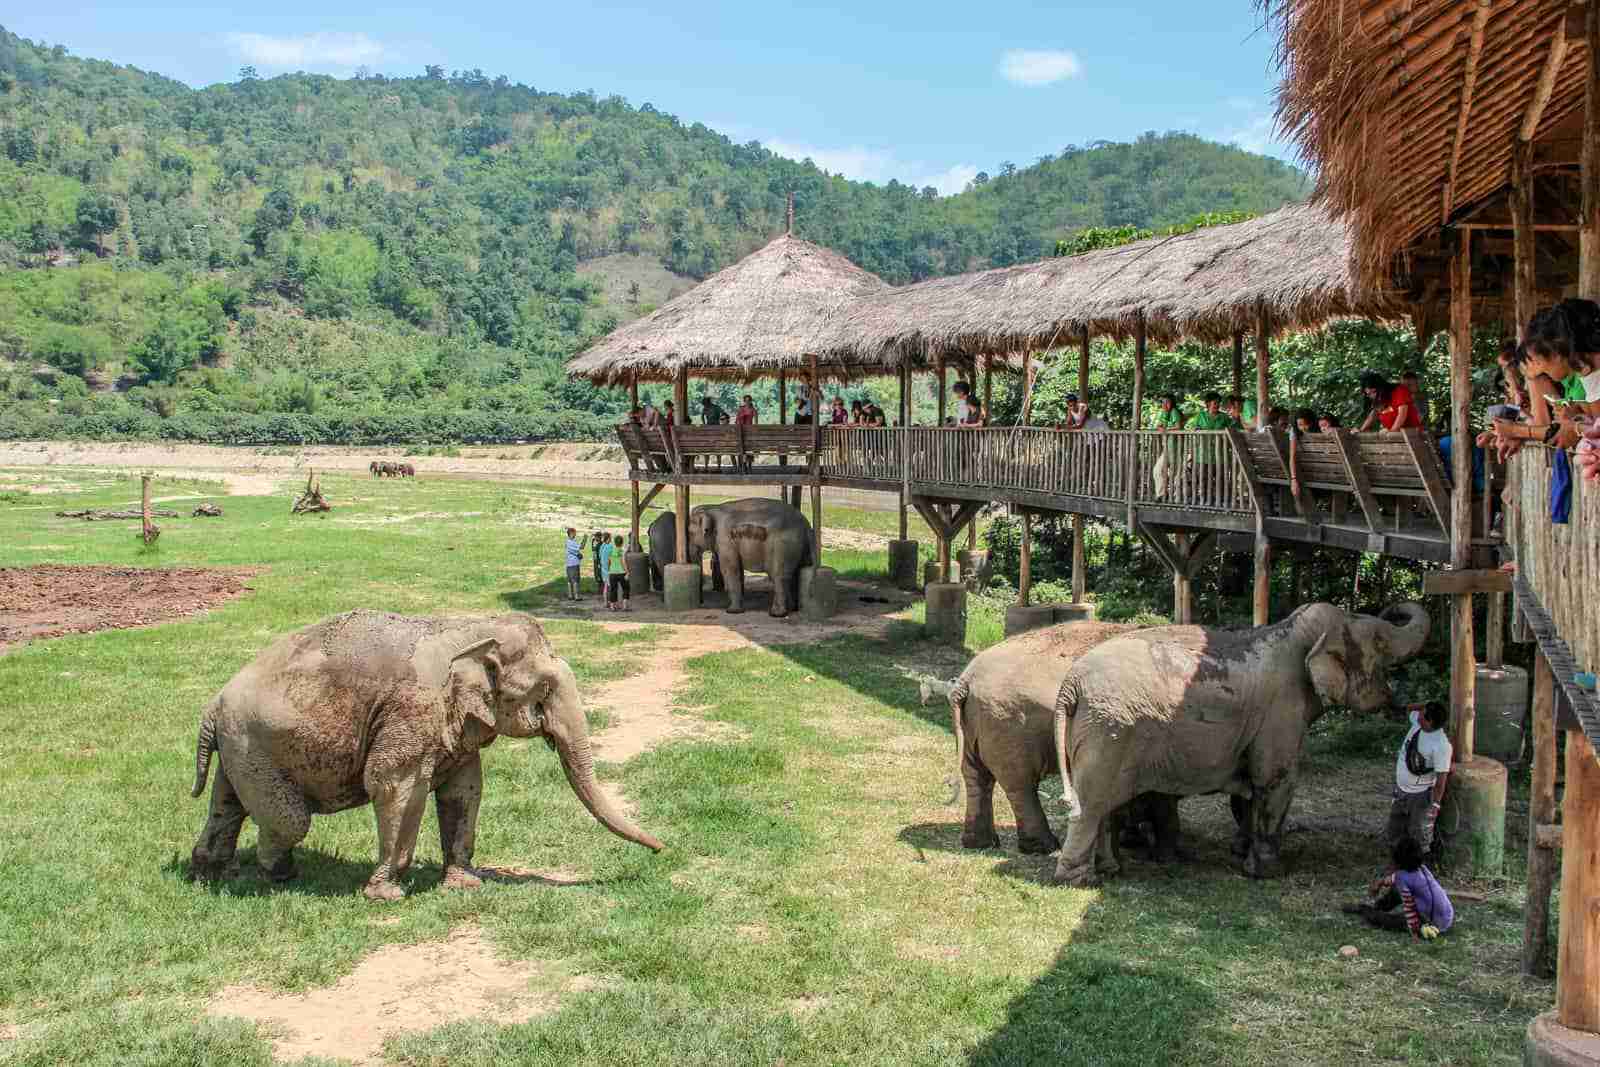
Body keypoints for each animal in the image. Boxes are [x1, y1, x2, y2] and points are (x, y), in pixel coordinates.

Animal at [189, 610, 663, 901]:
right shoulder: (412, 710)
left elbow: (465, 789)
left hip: (241, 749)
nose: (662, 849)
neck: (467, 629)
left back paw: (208, 873)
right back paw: (279, 875)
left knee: (226, 806)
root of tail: (211, 706)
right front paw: (387, 894)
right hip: (254, 746)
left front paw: (464, 884)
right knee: (289, 820)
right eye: (544, 690)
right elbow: (394, 785)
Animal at [1050, 601, 1429, 886]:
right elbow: (1276, 780)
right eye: (1380, 642)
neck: (1291, 632)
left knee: (1103, 806)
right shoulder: (1281, 710)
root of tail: (1070, 684)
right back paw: (1080, 880)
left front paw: (1241, 853)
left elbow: (1250, 789)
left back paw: (1109, 869)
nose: (1394, 606)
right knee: (1092, 804)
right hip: (1109, 732)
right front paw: (1269, 873)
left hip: (1100, 731)